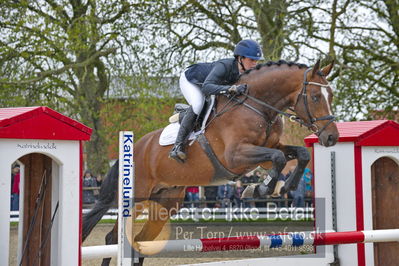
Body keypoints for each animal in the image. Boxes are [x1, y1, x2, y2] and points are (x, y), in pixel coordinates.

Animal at [83, 59, 340, 264]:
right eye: (316, 97)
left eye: (331, 96)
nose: (332, 137)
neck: (257, 106)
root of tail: (135, 147)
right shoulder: (236, 156)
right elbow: (277, 159)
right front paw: (260, 189)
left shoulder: (271, 149)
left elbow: (300, 154)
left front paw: (281, 187)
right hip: (137, 197)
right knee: (113, 238)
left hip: (166, 203)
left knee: (140, 242)